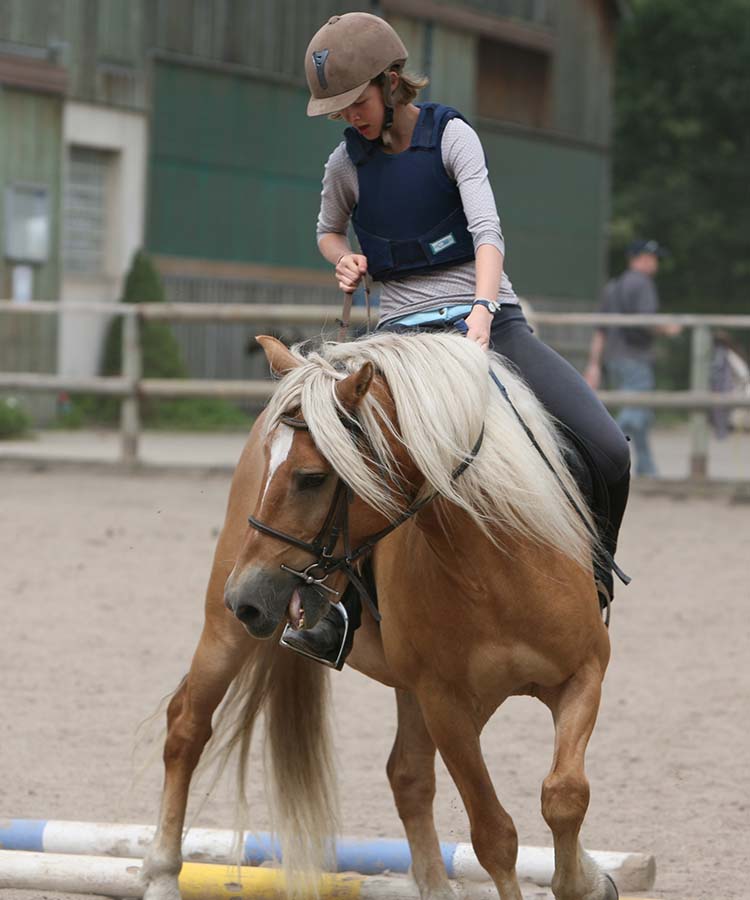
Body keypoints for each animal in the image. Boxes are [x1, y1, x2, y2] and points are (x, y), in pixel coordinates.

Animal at [141, 330, 616, 900]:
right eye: (271, 465)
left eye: (311, 478)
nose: (246, 597)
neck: (496, 569)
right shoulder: (446, 705)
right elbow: (494, 835)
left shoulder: (582, 674)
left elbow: (565, 794)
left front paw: (585, 880)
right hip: (227, 633)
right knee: (186, 726)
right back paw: (161, 874)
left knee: (408, 776)